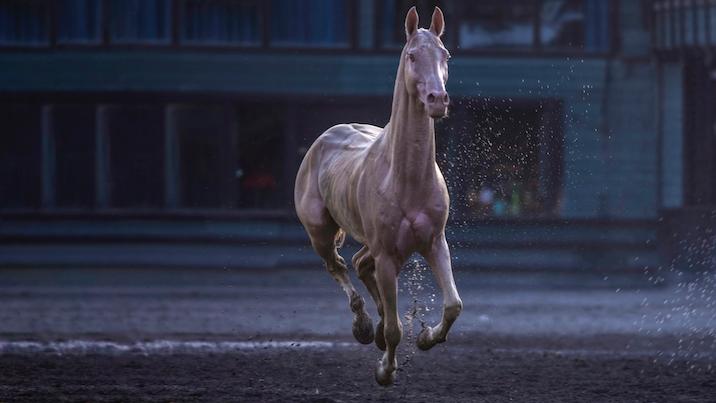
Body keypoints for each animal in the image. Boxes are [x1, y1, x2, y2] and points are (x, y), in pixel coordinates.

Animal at [294, 5, 462, 386]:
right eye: (412, 55)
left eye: (445, 54)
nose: (437, 99)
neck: (405, 178)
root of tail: (324, 139)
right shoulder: (387, 255)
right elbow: (396, 330)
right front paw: (385, 370)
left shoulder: (434, 242)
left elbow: (453, 305)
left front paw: (427, 337)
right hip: (321, 233)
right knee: (338, 266)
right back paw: (364, 325)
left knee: (359, 263)